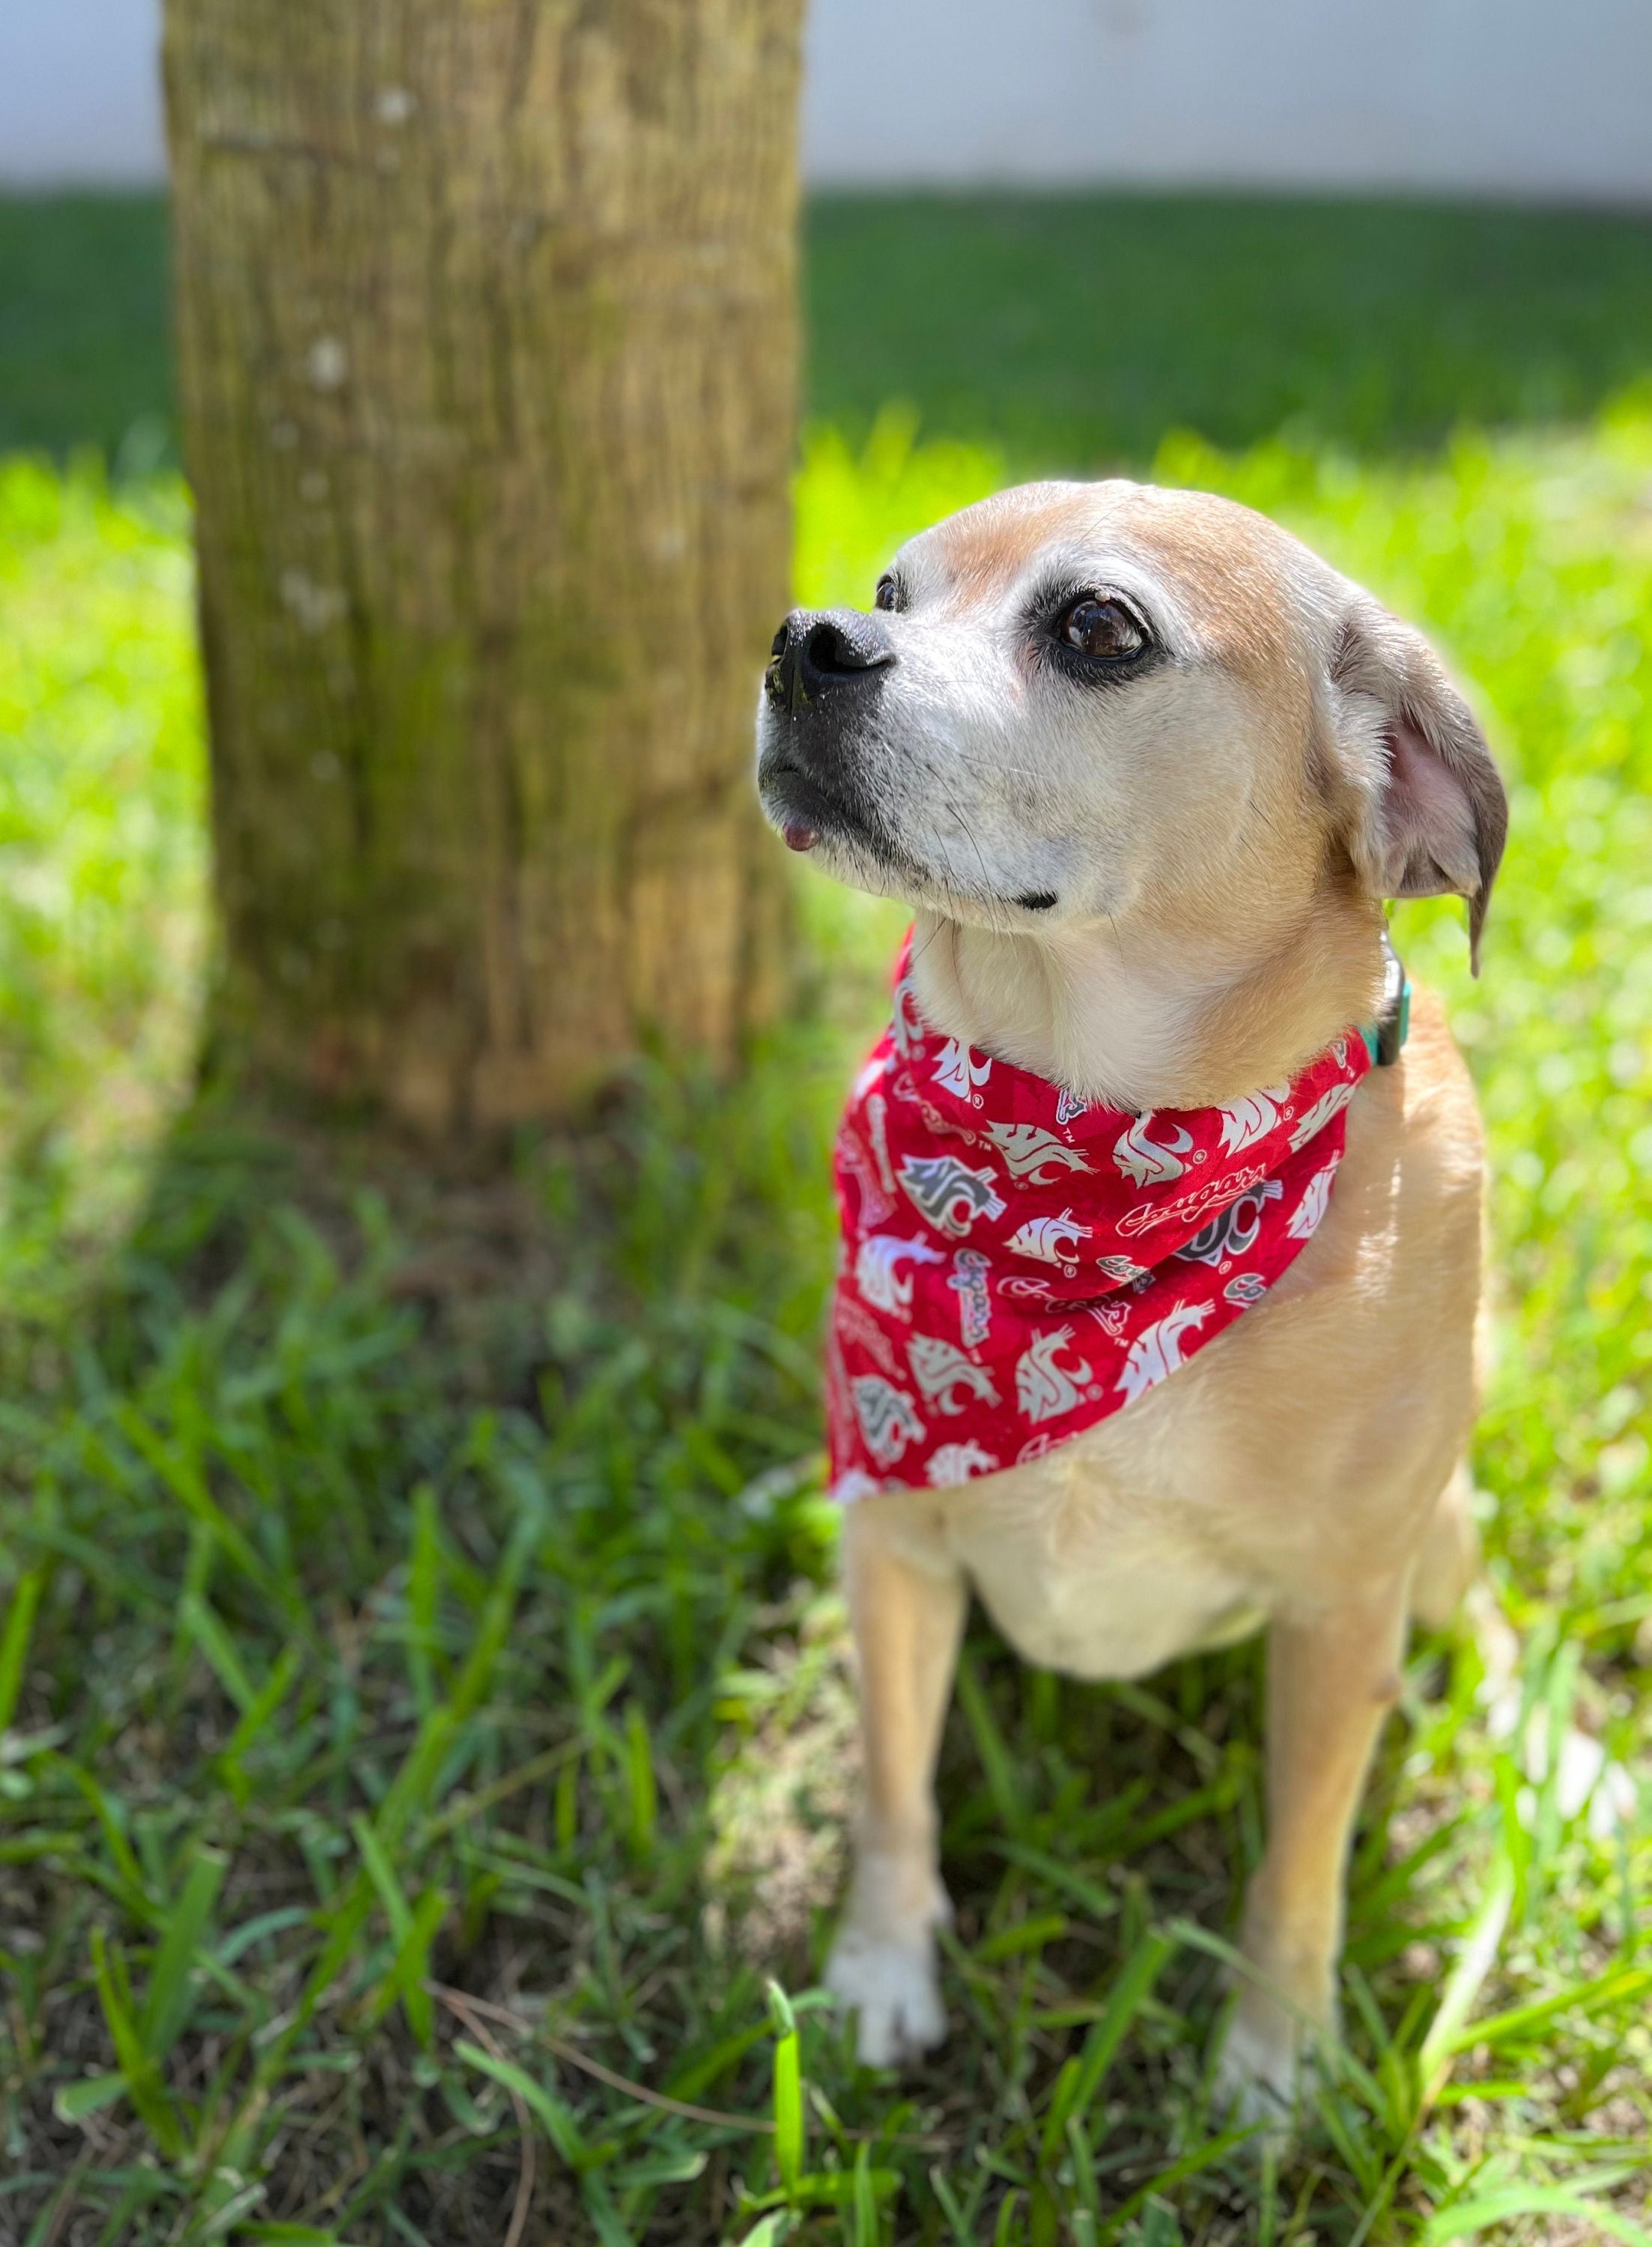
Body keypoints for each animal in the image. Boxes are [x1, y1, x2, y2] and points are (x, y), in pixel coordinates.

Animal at [755, 483, 1501, 2112]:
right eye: (890, 591)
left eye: (1099, 628)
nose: (803, 639)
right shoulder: (893, 1543)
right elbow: (891, 1786)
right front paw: (880, 1969)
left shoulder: (1339, 1612)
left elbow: (1299, 1867)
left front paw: (1273, 2062)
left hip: (1439, 1537)